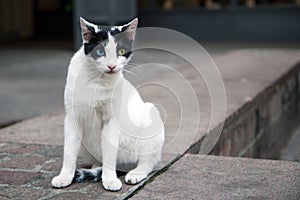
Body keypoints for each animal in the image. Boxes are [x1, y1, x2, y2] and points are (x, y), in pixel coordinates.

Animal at [50, 18, 165, 191]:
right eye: (99, 52)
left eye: (121, 52)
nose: (111, 66)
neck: (96, 80)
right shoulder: (72, 118)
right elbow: (69, 153)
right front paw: (64, 177)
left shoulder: (111, 120)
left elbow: (110, 152)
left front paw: (110, 179)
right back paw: (96, 167)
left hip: (150, 116)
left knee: (148, 162)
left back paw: (134, 174)